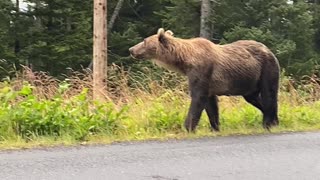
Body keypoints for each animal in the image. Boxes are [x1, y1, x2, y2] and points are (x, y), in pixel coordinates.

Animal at [129, 28, 278, 132]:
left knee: (269, 94)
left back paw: (268, 122)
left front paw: (187, 127)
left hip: (266, 69)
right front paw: (215, 127)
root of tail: (269, 49)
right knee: (254, 98)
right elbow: (210, 104)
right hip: (249, 81)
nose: (131, 49)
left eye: (144, 41)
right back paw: (273, 119)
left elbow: (198, 97)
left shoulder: (202, 71)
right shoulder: (208, 82)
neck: (185, 61)